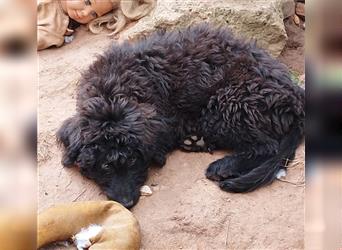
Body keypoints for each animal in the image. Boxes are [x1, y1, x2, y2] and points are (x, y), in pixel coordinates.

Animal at [56, 23, 304, 208]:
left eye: (134, 160)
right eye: (106, 166)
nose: (127, 203)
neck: (114, 91)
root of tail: (295, 96)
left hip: (226, 104)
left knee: (267, 147)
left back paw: (222, 166)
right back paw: (196, 142)